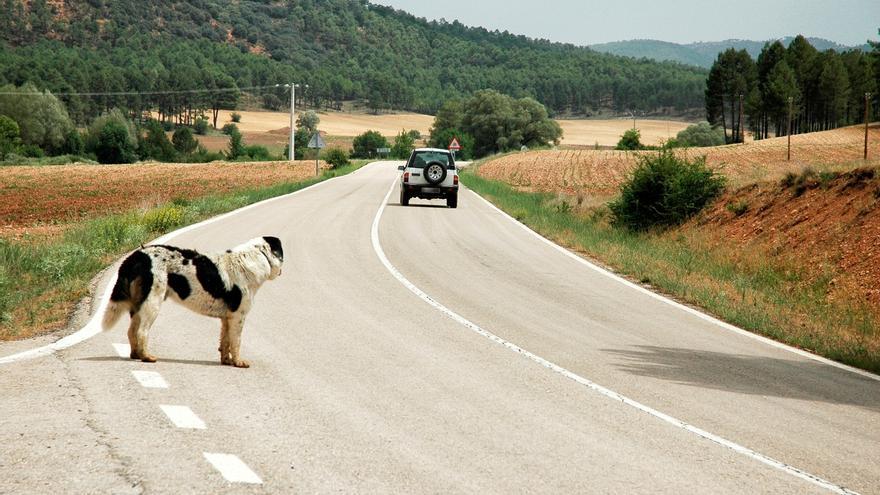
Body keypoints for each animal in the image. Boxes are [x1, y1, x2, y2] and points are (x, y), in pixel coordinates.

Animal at [102, 236, 284, 368]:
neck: (259, 257)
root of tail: (136, 256)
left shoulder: (227, 318)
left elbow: (225, 341)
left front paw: (227, 361)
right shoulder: (238, 316)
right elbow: (236, 341)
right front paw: (238, 362)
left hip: (140, 305)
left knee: (131, 331)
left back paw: (135, 355)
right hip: (153, 302)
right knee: (141, 332)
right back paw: (147, 357)